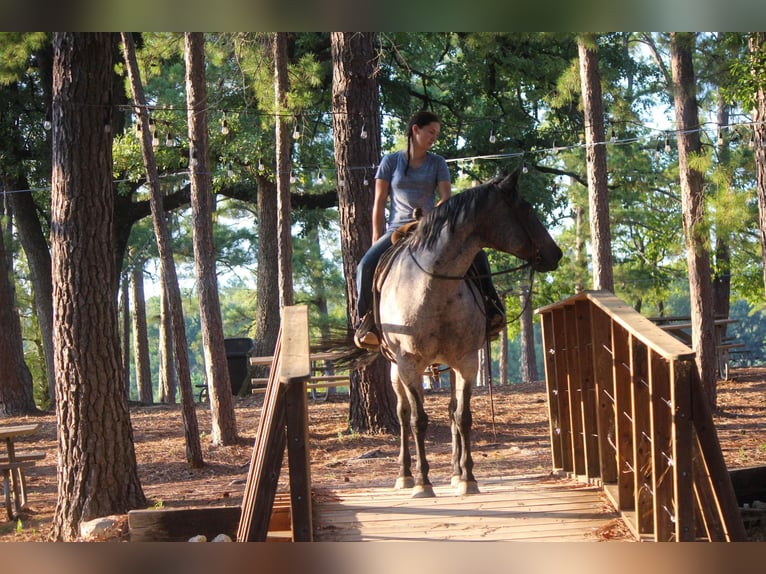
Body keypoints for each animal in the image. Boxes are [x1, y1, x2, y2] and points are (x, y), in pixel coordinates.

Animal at [374, 170, 564, 500]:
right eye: (526, 208)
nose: (556, 253)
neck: (431, 286)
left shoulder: (466, 361)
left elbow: (462, 416)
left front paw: (467, 477)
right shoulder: (409, 364)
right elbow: (417, 419)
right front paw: (423, 482)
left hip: (448, 366)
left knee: (451, 411)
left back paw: (453, 472)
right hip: (395, 368)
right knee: (402, 414)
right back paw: (405, 474)